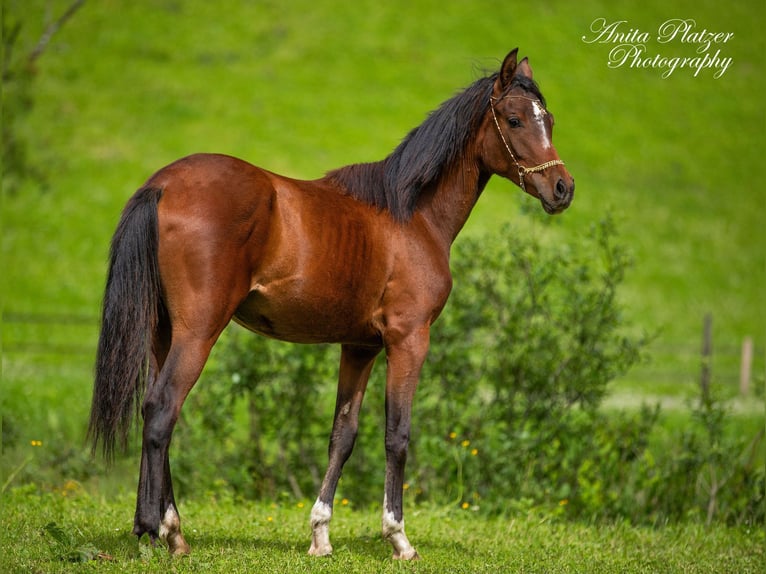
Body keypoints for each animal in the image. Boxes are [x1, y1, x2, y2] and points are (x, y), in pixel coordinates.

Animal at [87, 49, 572, 564]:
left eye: (549, 120)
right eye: (515, 119)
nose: (563, 188)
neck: (412, 216)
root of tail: (161, 185)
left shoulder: (359, 347)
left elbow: (343, 435)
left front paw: (320, 535)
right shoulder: (408, 340)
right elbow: (397, 435)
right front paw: (399, 538)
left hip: (163, 332)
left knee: (153, 411)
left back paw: (161, 529)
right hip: (199, 331)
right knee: (163, 411)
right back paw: (165, 529)